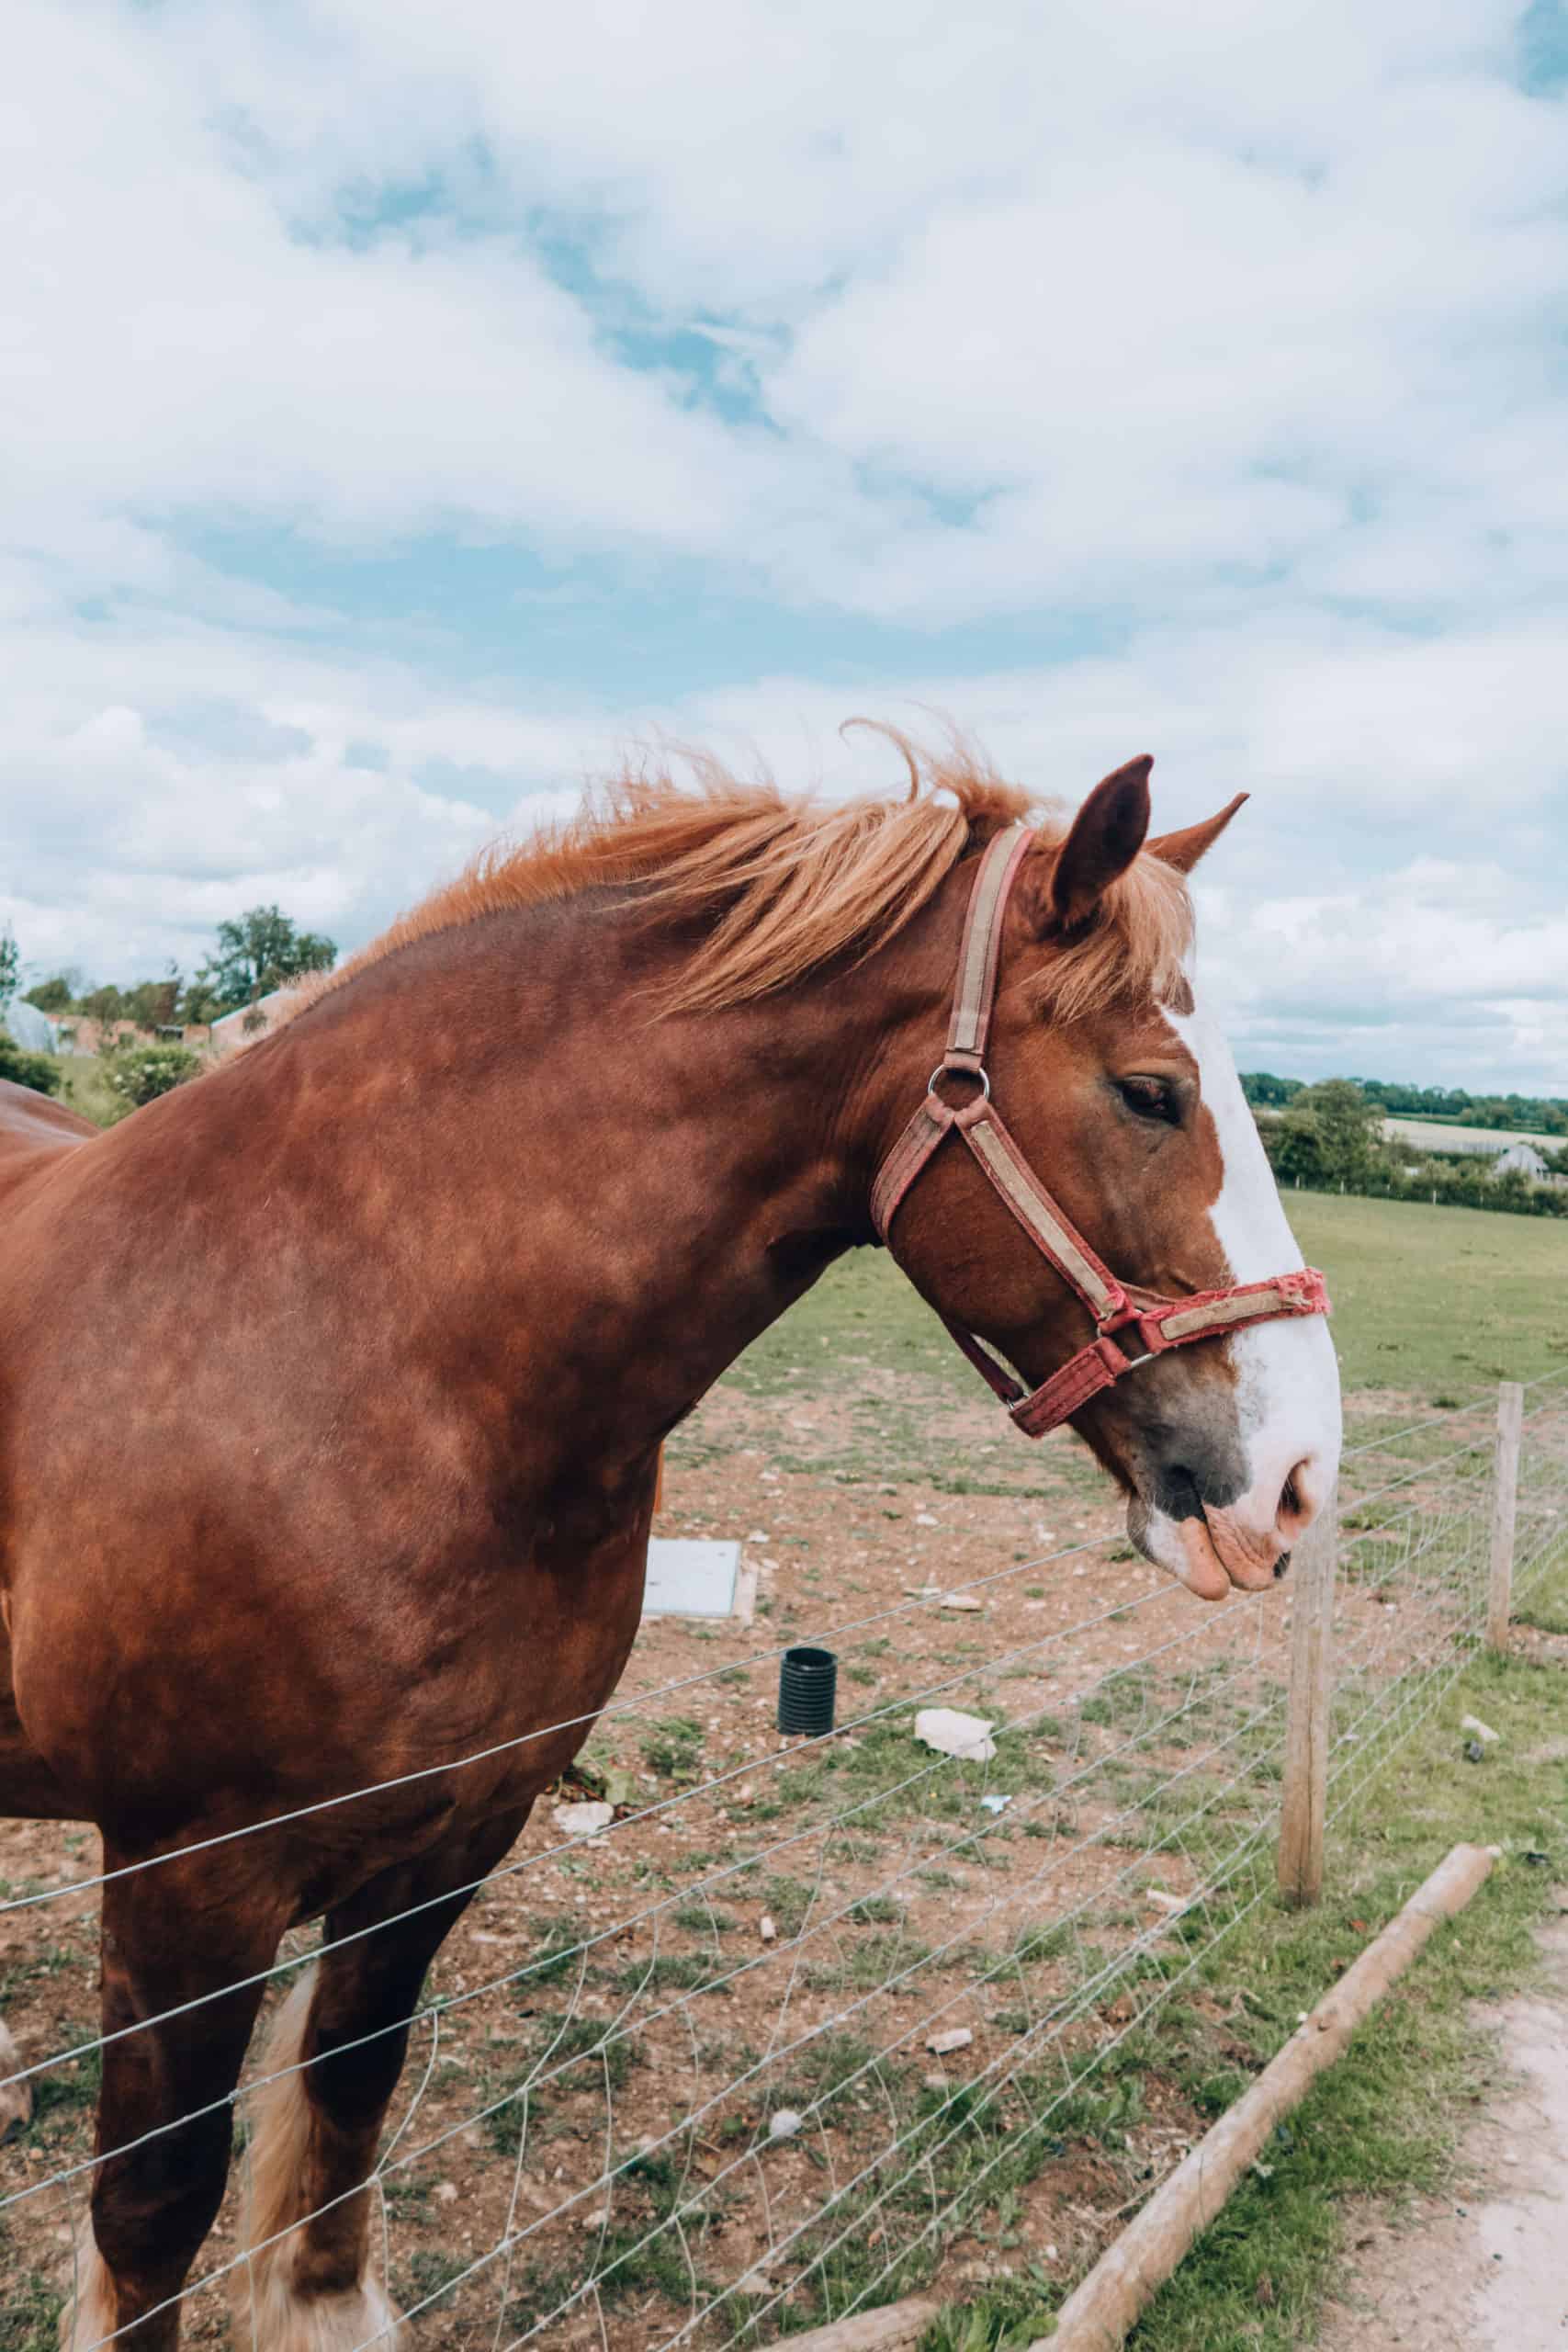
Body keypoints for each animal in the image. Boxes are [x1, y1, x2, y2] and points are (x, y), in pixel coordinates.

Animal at [3, 738, 1335, 2352]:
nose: (1293, 1476)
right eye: (1149, 1093)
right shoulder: (186, 1889)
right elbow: (151, 2214)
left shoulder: (445, 1845)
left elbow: (342, 2120)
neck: (346, 1345)